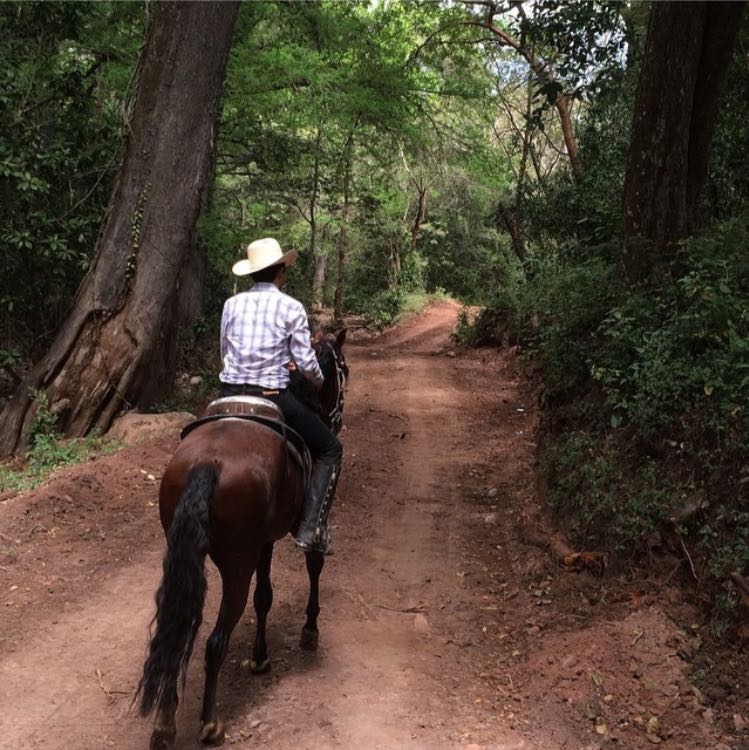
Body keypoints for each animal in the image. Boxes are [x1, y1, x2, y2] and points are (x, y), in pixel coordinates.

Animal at [136, 332, 346, 750]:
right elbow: (313, 564)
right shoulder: (305, 527)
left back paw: (164, 726)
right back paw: (210, 724)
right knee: (214, 640)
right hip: (235, 564)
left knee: (178, 629)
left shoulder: (262, 543)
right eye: (343, 369)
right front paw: (309, 632)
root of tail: (208, 463)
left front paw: (260, 657)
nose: (339, 417)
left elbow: (264, 596)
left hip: (187, 554)